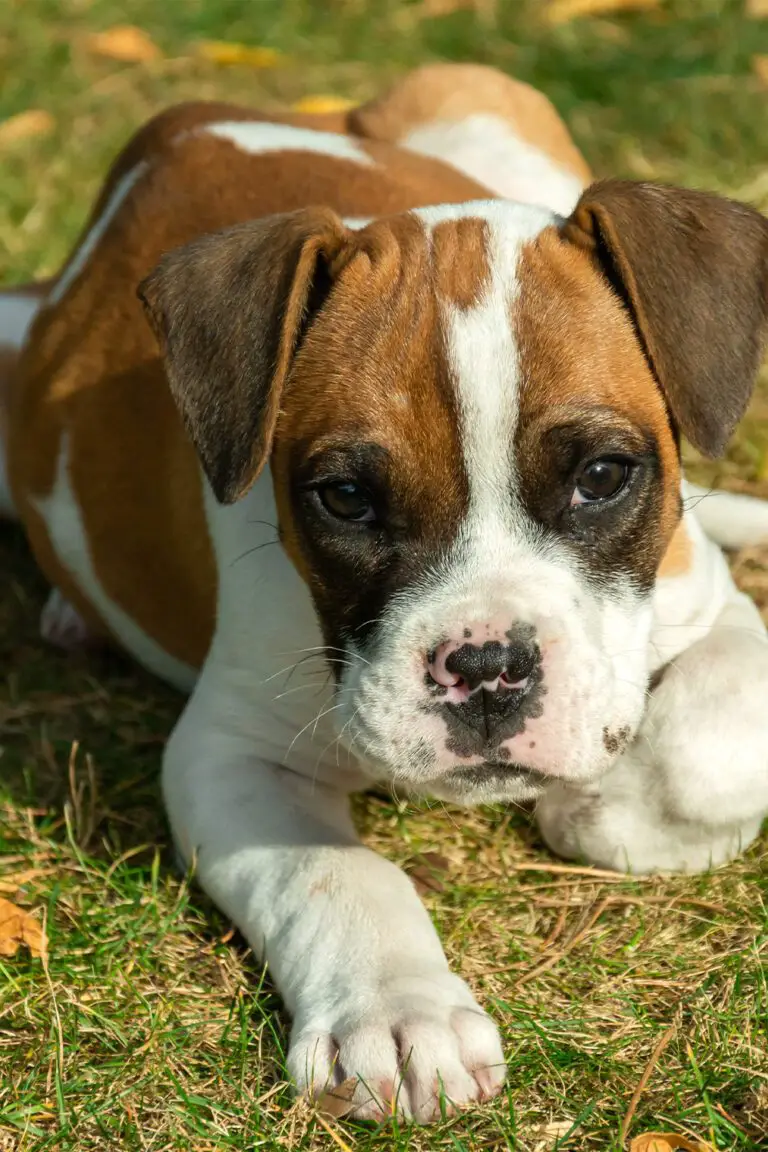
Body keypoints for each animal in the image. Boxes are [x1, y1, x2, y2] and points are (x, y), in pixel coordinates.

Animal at [1, 67, 768, 1119]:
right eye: (346, 498)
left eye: (604, 477)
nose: (487, 669)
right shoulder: (229, 751)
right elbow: (334, 875)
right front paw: (401, 1013)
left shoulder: (710, 605)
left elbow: (708, 751)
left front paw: (595, 806)